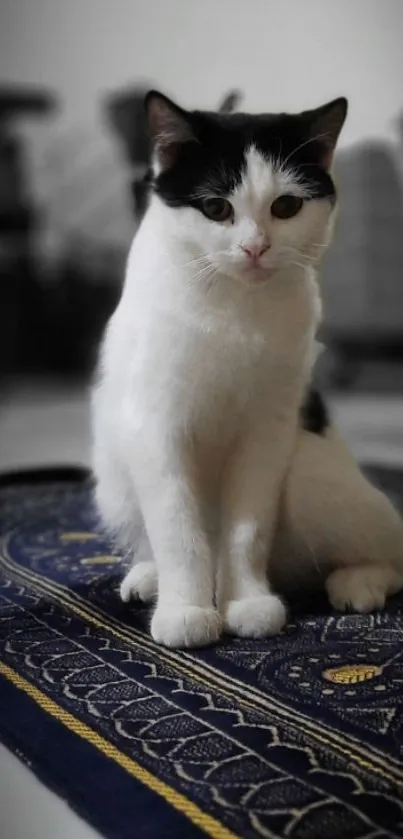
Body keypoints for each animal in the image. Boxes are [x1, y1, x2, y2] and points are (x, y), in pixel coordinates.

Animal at [93, 90, 403, 648]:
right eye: (217, 207)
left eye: (287, 206)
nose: (255, 247)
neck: (232, 304)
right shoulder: (154, 427)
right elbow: (177, 528)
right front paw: (187, 610)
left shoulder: (267, 431)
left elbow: (247, 528)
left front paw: (247, 604)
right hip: (113, 473)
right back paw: (150, 578)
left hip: (311, 477)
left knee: (392, 551)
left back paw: (357, 582)